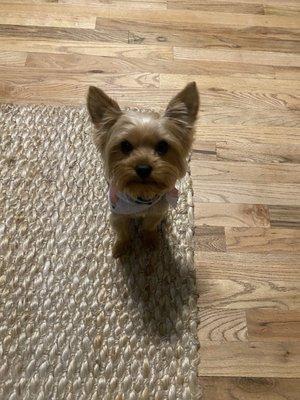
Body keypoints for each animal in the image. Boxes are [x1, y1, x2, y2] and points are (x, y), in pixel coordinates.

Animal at [87, 82, 199, 258]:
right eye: (125, 145)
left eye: (162, 146)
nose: (143, 168)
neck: (141, 196)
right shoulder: (118, 214)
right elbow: (123, 232)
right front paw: (121, 246)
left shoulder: (157, 211)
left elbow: (149, 227)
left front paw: (150, 241)